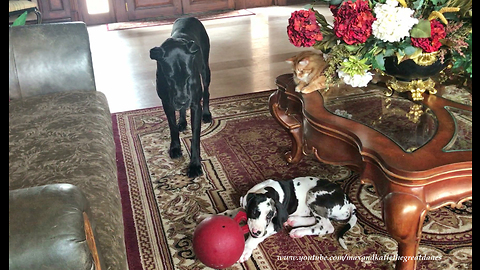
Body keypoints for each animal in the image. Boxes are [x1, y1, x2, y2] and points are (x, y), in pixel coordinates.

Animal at [150, 16, 210, 177]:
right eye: (169, 78)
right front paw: (175, 147)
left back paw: (207, 114)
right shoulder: (167, 103)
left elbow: (195, 137)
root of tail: (189, 17)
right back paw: (182, 121)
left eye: (189, 76)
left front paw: (195, 164)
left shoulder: (195, 104)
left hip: (205, 69)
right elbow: (172, 127)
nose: (183, 101)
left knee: (207, 91)